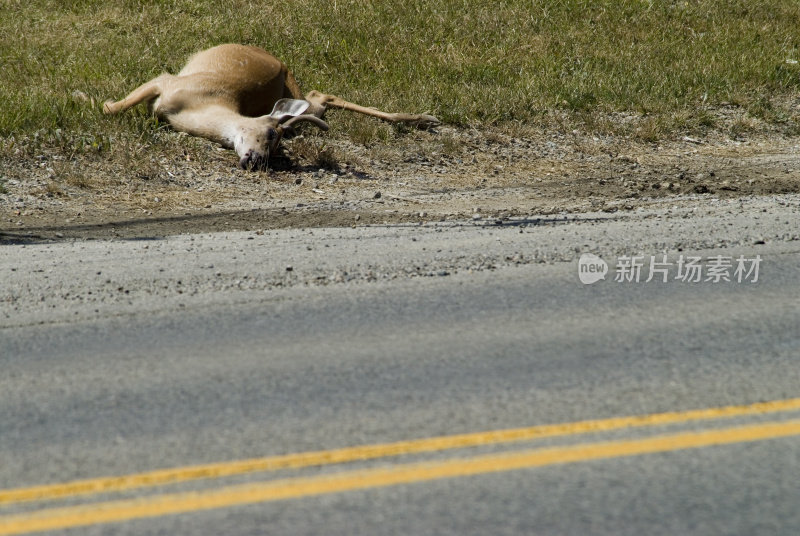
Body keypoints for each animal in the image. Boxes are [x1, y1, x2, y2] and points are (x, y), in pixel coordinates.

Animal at [103, 43, 440, 170]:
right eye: (270, 134)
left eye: (278, 147)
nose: (256, 160)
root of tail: (282, 64)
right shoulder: (168, 81)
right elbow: (112, 109)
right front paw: (97, 100)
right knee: (319, 95)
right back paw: (425, 118)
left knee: (321, 96)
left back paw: (426, 119)